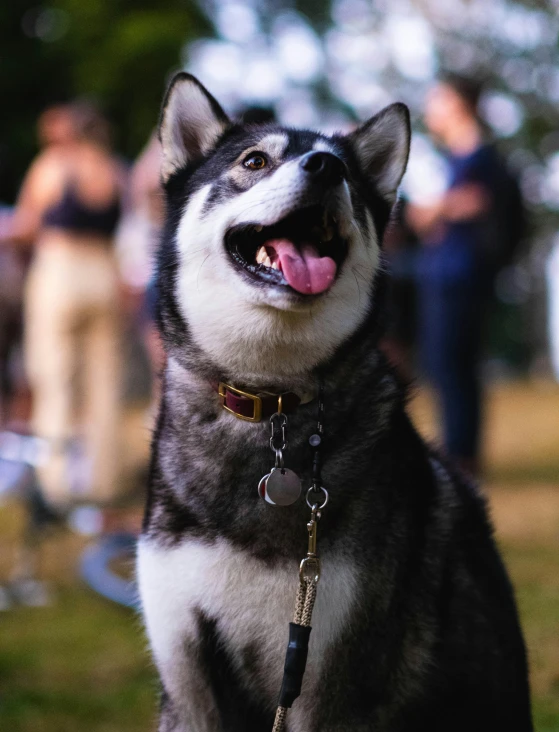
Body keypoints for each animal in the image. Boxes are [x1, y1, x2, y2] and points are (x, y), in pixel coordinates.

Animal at [137, 74, 532, 732]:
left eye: (344, 172)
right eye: (255, 161)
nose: (325, 168)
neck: (269, 400)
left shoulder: (328, 682)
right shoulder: (188, 682)